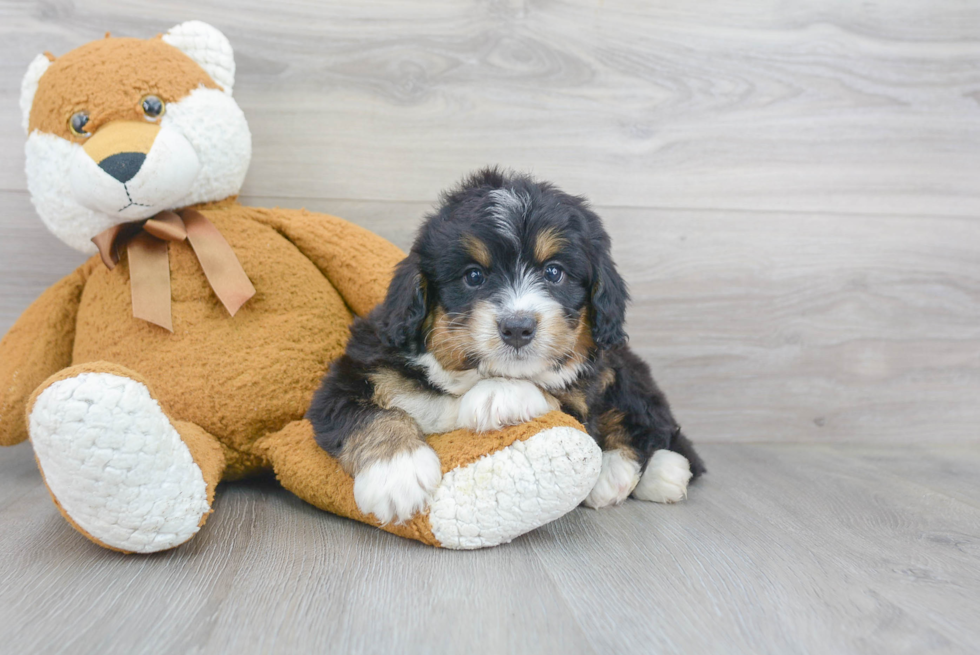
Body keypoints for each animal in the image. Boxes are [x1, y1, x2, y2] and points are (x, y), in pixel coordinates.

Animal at [310, 168, 700, 524]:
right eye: (473, 276)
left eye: (554, 272)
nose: (517, 327)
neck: (468, 374)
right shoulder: (354, 373)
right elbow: (367, 414)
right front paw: (397, 475)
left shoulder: (584, 393)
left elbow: (557, 395)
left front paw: (499, 394)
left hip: (623, 369)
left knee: (650, 423)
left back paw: (647, 473)